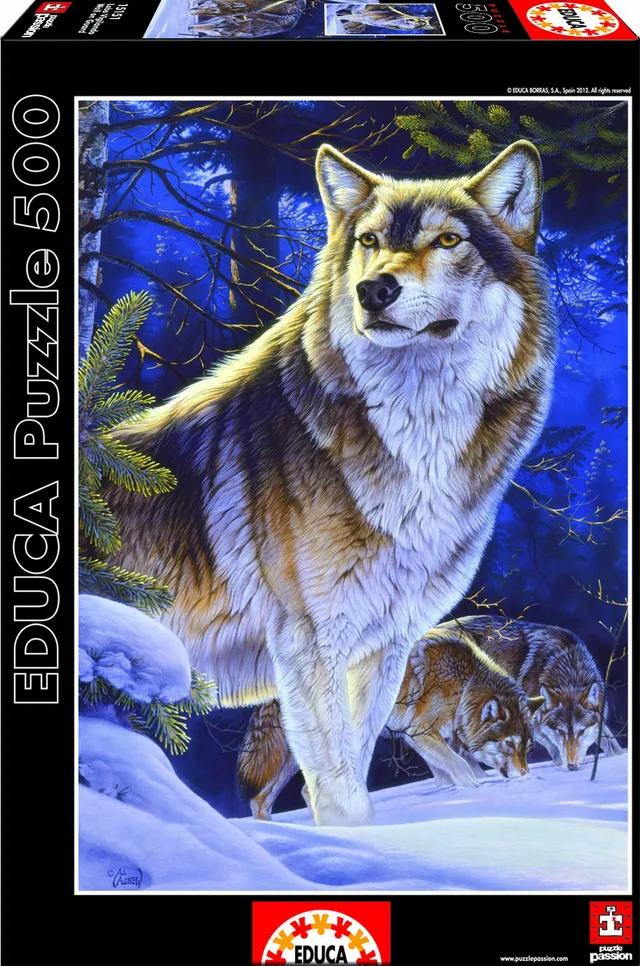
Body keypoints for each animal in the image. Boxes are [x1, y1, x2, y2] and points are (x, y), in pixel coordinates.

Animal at [239, 620, 543, 819]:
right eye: (508, 744)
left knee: (261, 800)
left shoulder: (428, 740)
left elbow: (450, 772)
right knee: (303, 791)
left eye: (527, 748)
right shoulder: (421, 733)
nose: (525, 776)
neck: (464, 685)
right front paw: (475, 792)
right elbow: (461, 767)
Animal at [442, 616, 623, 770]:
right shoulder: (533, 722)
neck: (569, 673)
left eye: (581, 731)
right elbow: (554, 749)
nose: (572, 766)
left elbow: (610, 742)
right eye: (561, 732)